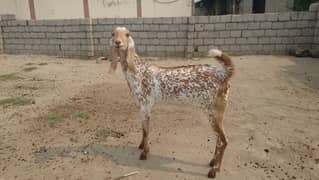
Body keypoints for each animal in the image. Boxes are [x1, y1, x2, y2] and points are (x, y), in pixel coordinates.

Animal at [108, 27, 235, 179]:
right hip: (216, 113)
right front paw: (141, 146)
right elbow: (144, 130)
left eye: (127, 35)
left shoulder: (146, 106)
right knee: (219, 138)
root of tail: (224, 74)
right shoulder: (141, 107)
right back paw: (213, 163)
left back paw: (214, 170)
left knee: (223, 141)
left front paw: (145, 153)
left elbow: (147, 130)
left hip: (213, 111)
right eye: (113, 34)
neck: (138, 71)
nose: (118, 43)